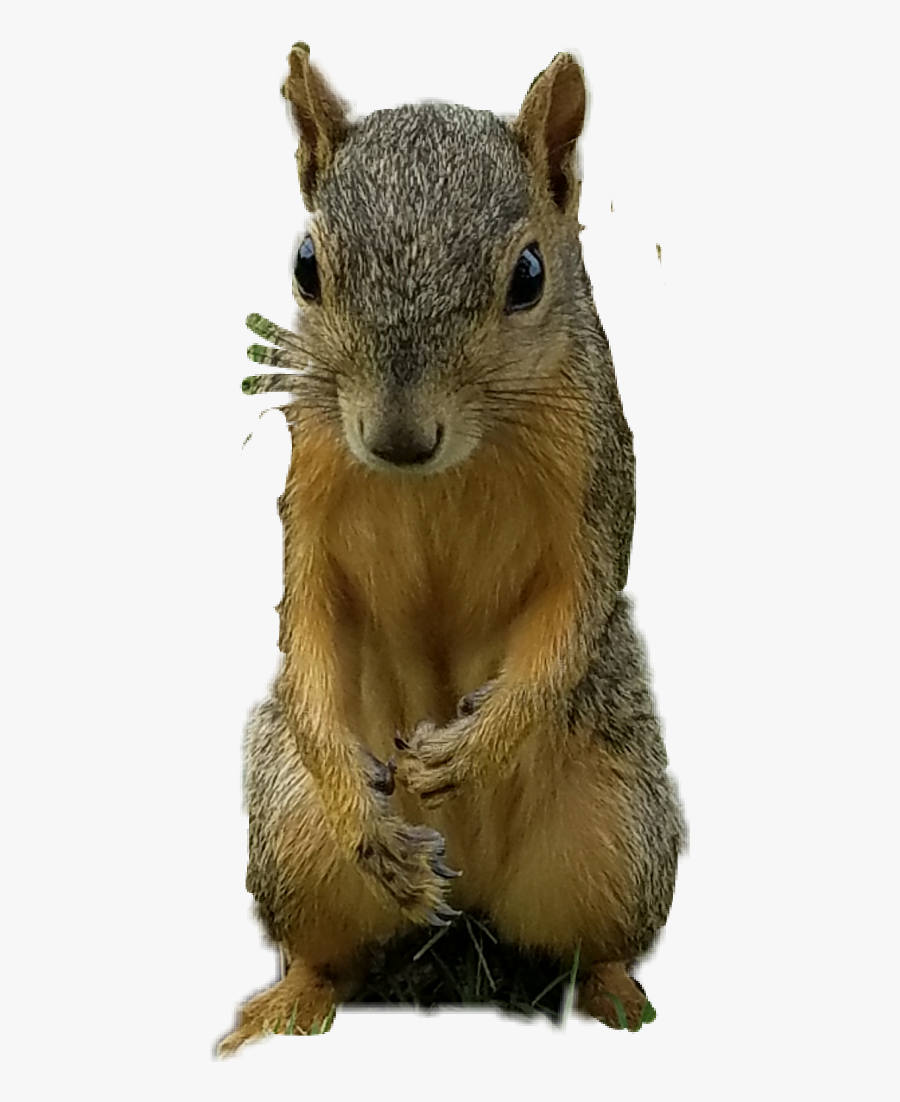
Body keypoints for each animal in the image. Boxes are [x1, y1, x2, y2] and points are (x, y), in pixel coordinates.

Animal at [218, 43, 687, 1055]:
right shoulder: (309, 495)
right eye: (305, 266)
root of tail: (470, 899)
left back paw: (620, 997)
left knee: (596, 942)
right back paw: (286, 1004)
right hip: (293, 832)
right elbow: (306, 621)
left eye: (530, 274)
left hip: (617, 827)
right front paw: (370, 810)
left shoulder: (597, 490)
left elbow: (575, 614)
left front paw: (471, 750)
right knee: (325, 950)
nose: (398, 438)